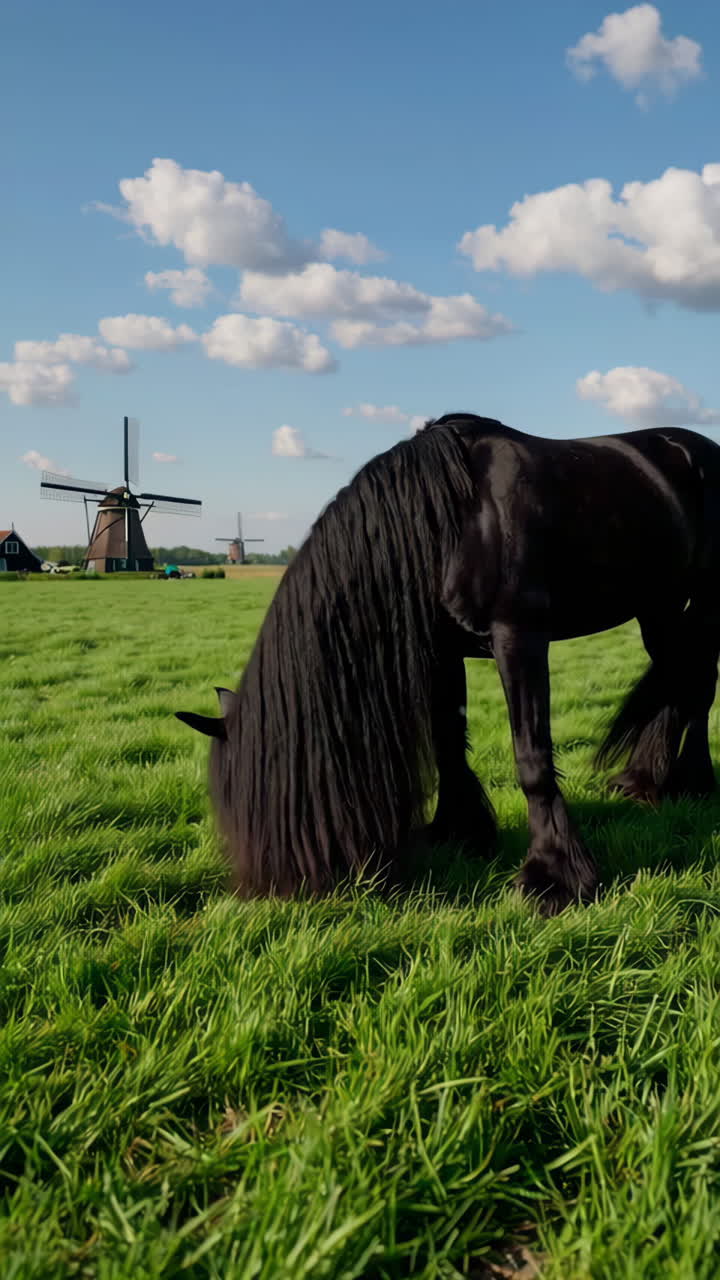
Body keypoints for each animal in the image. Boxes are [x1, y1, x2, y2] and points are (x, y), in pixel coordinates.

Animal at [176, 414, 720, 915]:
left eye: (254, 796)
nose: (268, 891)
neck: (451, 521)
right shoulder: (443, 649)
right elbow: (447, 743)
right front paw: (460, 832)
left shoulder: (518, 637)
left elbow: (532, 758)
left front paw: (554, 877)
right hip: (657, 606)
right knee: (684, 681)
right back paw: (648, 781)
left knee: (698, 685)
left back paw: (688, 781)